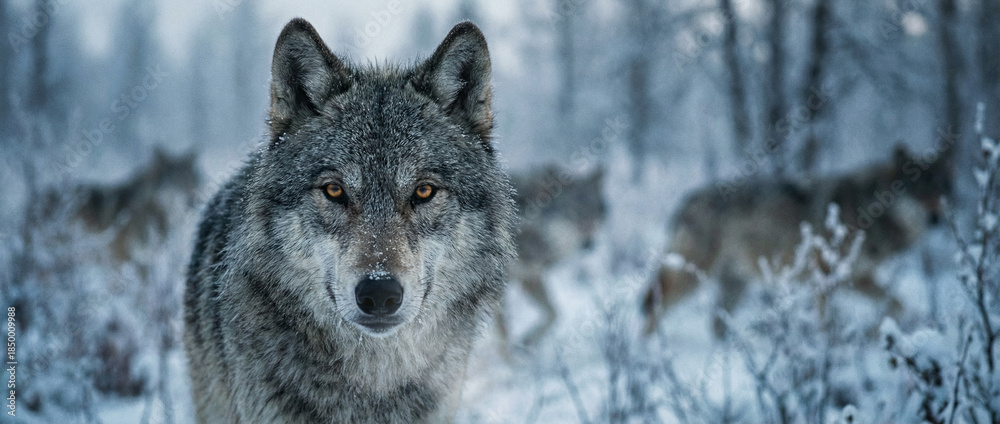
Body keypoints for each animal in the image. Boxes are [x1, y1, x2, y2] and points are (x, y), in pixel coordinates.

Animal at [501, 165, 605, 347]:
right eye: (574, 211)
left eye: (595, 211)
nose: (589, 243)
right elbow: (503, 334)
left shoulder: (530, 278)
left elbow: (555, 313)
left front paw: (529, 339)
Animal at [641, 146, 950, 335]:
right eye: (918, 192)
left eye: (941, 190)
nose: (936, 217)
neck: (868, 207)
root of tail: (688, 199)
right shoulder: (824, 277)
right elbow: (825, 322)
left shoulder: (858, 276)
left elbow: (897, 305)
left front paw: (875, 334)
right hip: (690, 278)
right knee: (654, 307)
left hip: (734, 285)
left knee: (715, 324)